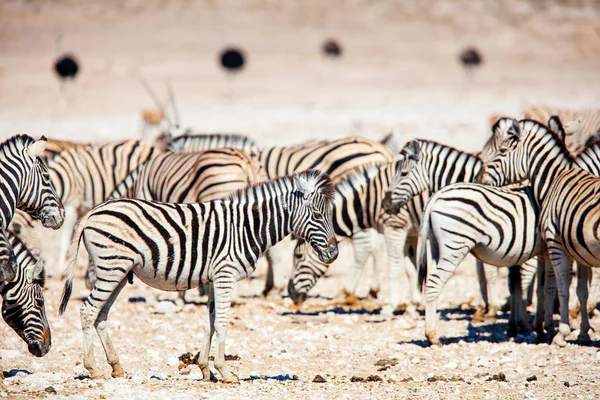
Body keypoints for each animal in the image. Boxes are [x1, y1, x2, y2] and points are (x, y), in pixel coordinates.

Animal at [58, 169, 340, 382]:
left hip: (119, 270)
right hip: (112, 266)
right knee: (88, 311)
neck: (247, 227)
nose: (334, 253)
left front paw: (206, 369)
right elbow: (223, 322)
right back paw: (93, 368)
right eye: (317, 215)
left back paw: (116, 367)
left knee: (101, 315)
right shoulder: (225, 274)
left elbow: (211, 322)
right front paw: (225, 372)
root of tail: (93, 211)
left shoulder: (215, 278)